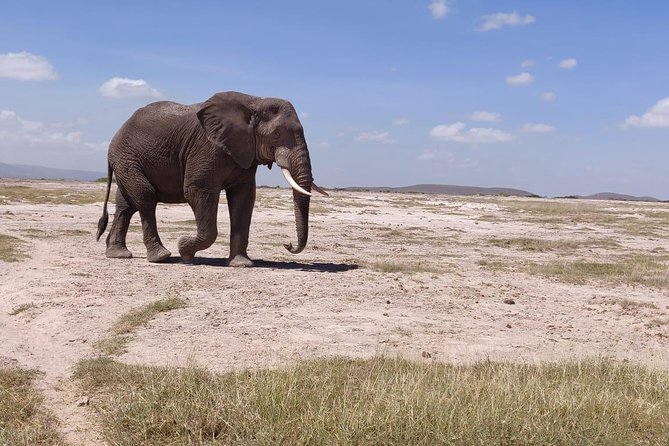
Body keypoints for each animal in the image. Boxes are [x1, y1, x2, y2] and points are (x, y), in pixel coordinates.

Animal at [96, 89, 326, 264]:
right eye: (277, 135)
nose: (287, 243)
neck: (255, 101)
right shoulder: (206, 147)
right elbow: (198, 190)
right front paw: (184, 251)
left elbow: (243, 199)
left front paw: (241, 264)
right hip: (127, 158)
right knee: (145, 198)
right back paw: (161, 257)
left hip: (127, 160)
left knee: (126, 205)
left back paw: (118, 254)